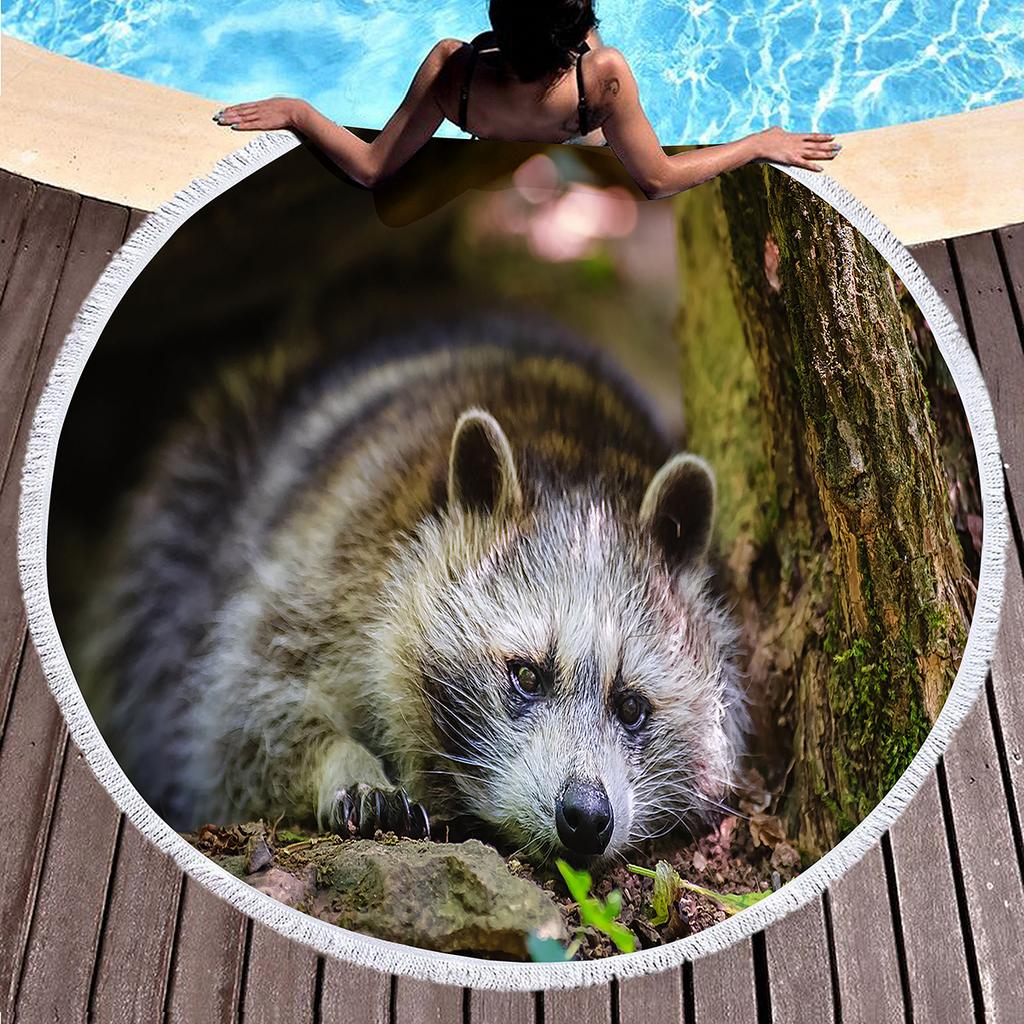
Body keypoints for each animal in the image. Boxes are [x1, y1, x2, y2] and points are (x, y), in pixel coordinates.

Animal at [80, 315, 745, 862]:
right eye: (527, 676)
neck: (573, 455)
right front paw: (339, 761)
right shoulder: (328, 563)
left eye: (632, 707)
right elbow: (239, 721)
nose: (585, 817)